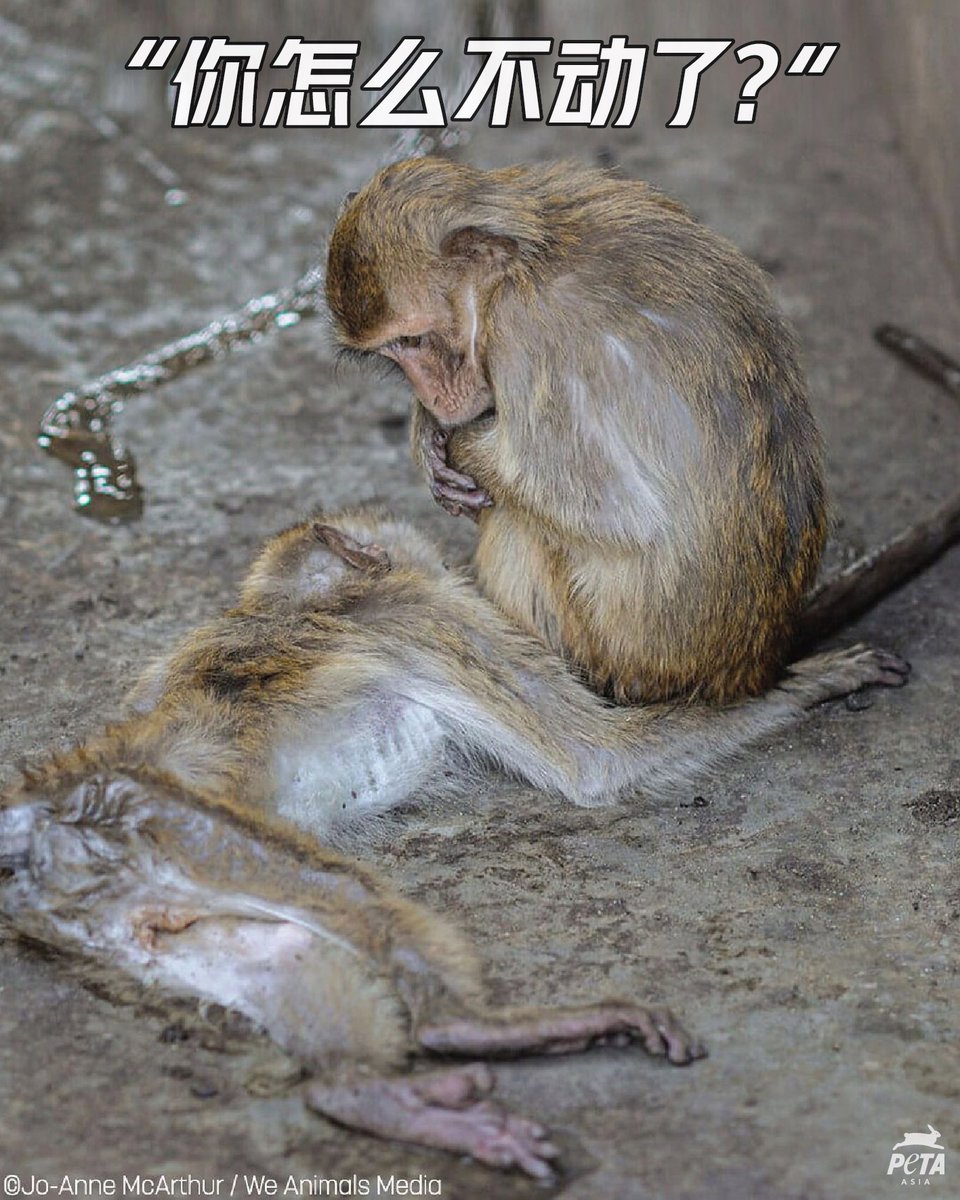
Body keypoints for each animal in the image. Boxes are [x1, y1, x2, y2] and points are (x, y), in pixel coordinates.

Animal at [0, 507, 908, 1176]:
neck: (297, 606)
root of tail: (36, 822)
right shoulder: (425, 616)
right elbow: (597, 767)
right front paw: (815, 680)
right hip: (152, 815)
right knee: (354, 906)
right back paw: (463, 1028)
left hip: (121, 910)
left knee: (289, 954)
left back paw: (362, 1095)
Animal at [326, 157, 828, 706]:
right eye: (391, 352)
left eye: (414, 340)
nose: (433, 395)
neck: (526, 263)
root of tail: (746, 670)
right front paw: (428, 436)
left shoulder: (526, 333)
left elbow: (618, 513)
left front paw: (456, 447)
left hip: (618, 650)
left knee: (521, 522)